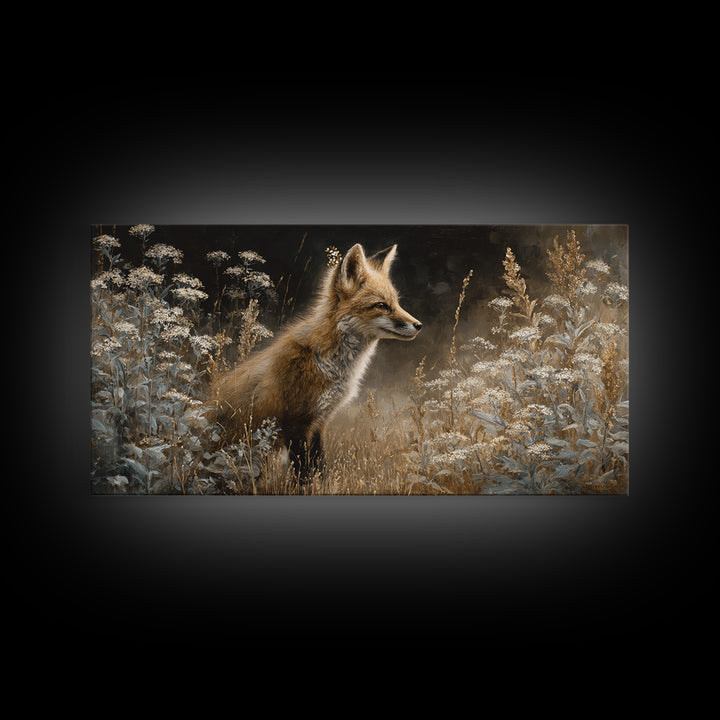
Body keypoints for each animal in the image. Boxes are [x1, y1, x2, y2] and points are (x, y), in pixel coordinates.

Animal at [208, 242, 422, 479]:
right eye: (382, 305)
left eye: (396, 303)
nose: (418, 325)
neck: (329, 364)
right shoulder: (296, 422)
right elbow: (303, 474)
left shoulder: (320, 422)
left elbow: (319, 466)